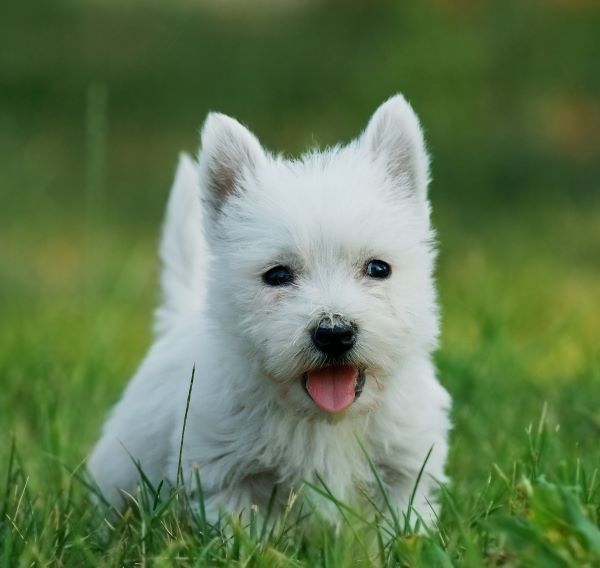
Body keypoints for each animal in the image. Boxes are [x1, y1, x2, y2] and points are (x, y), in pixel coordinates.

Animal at [88, 95, 450, 524]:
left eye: (378, 268)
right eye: (277, 275)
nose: (334, 333)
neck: (323, 420)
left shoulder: (407, 471)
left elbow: (402, 525)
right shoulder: (224, 475)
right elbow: (240, 530)